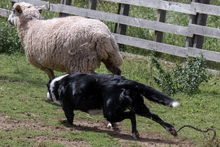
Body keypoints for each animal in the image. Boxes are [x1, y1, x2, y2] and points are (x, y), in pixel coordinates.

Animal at [46, 72, 179, 139]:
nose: (47, 95)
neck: (58, 85)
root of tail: (127, 82)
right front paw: (114, 126)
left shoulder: (67, 108)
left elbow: (69, 119)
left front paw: (64, 122)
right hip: (138, 107)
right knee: (154, 116)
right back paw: (171, 130)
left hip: (110, 112)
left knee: (132, 115)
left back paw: (134, 133)